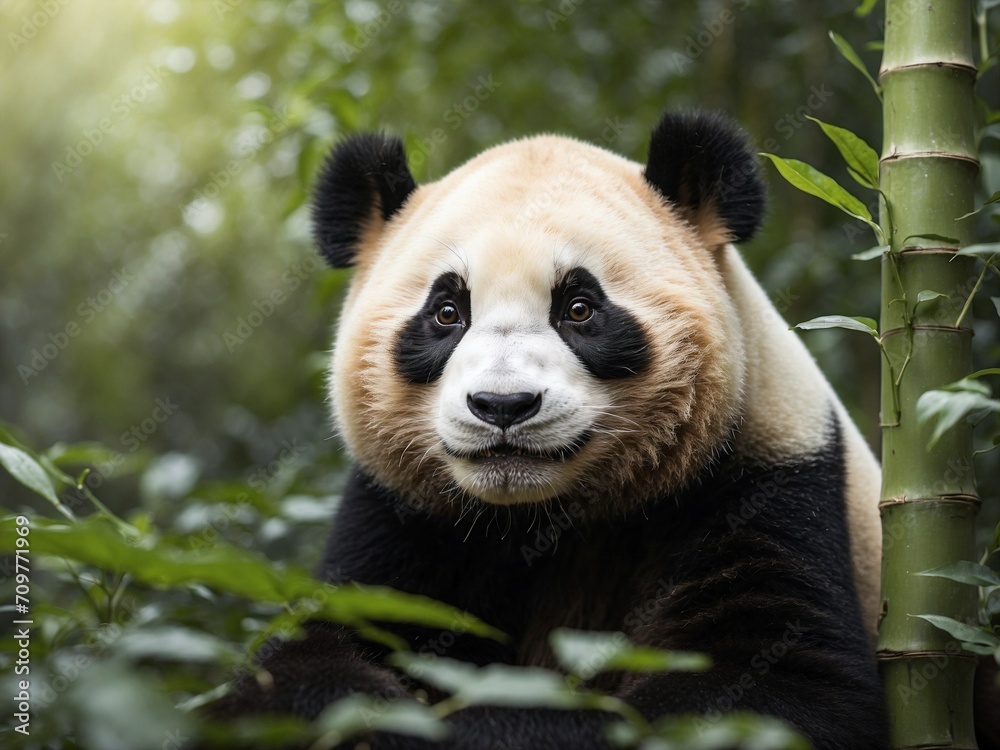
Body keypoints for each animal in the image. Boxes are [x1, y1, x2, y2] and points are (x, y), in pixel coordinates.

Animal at [209, 110, 889, 748]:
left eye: (580, 309)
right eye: (447, 313)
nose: (503, 405)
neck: (542, 516)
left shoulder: (765, 476)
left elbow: (777, 685)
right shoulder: (402, 512)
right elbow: (313, 655)